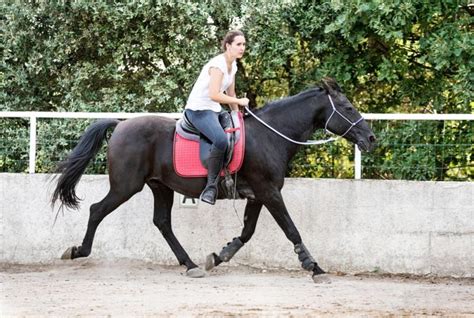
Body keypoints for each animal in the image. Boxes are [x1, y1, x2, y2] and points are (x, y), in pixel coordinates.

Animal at [51, 78, 376, 282]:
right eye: (347, 108)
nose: (371, 138)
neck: (270, 134)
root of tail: (120, 125)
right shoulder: (269, 192)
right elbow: (291, 230)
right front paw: (314, 267)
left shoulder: (258, 195)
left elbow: (246, 233)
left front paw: (219, 256)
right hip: (125, 186)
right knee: (97, 210)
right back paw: (78, 251)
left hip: (160, 187)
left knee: (162, 223)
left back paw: (191, 265)